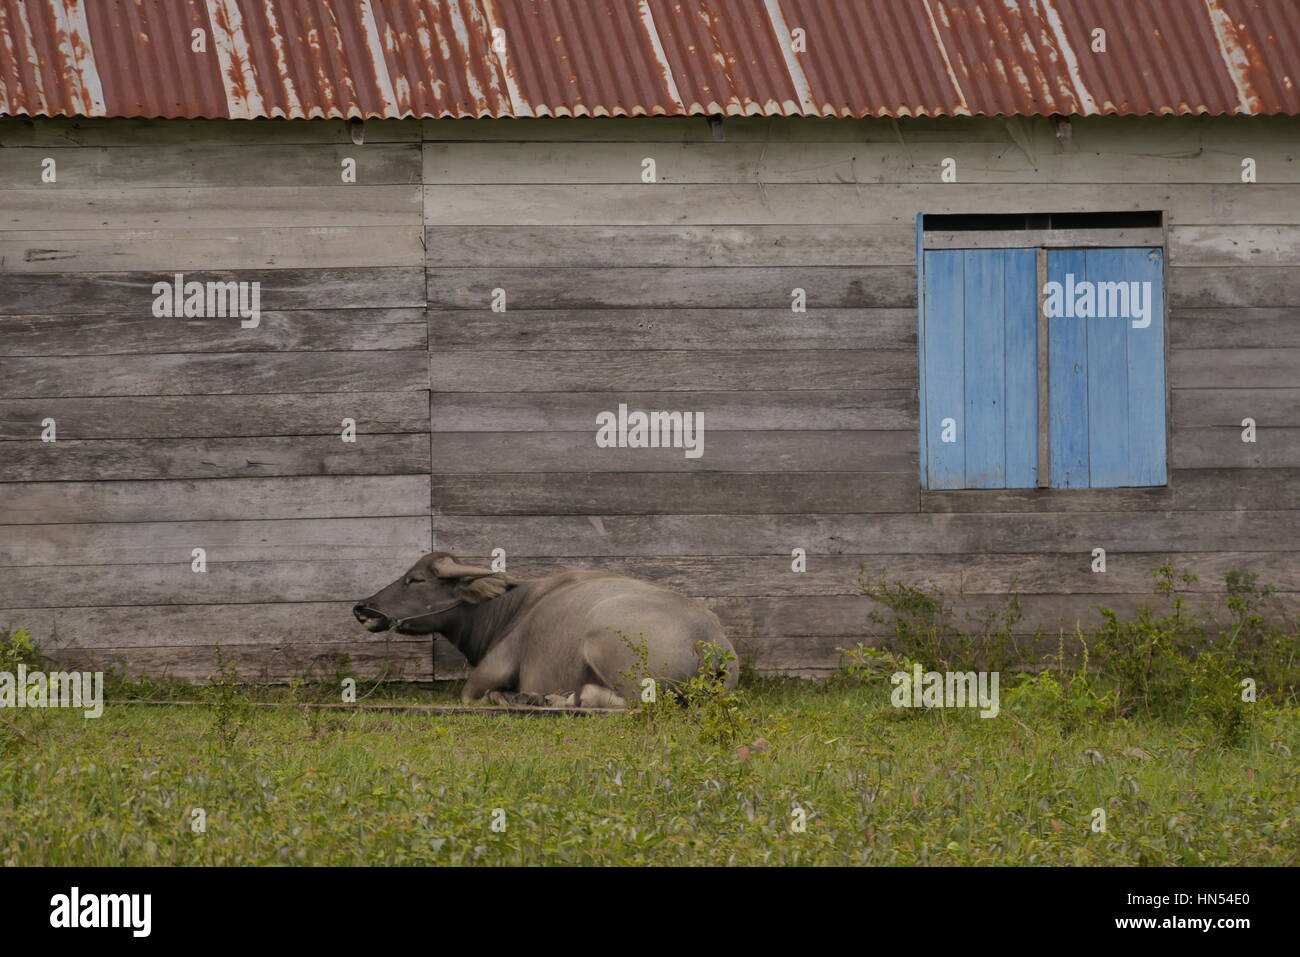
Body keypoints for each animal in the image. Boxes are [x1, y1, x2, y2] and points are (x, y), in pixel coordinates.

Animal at [353, 553, 743, 702]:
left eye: (415, 579)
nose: (362, 607)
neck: (511, 608)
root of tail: (710, 639)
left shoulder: (494, 667)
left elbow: (470, 695)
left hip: (602, 643)